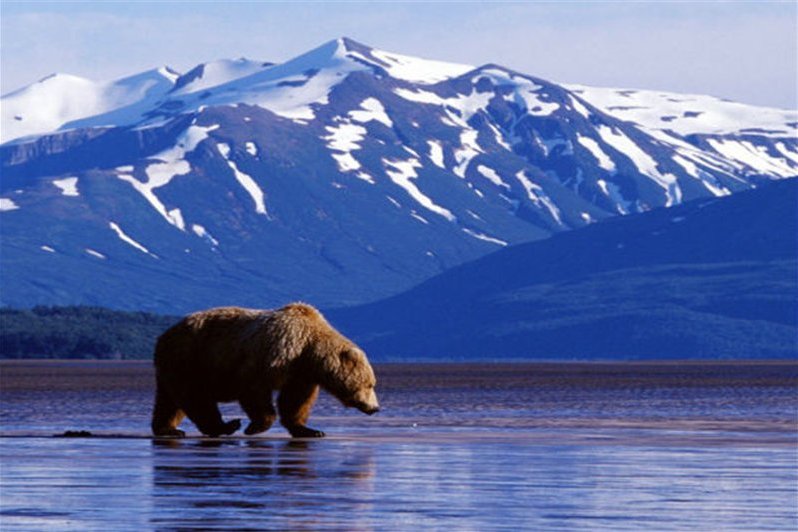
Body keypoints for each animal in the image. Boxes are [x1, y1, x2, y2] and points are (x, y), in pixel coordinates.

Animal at [151, 302, 382, 438]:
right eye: (370, 384)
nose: (375, 408)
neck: (309, 349)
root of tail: (163, 336)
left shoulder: (300, 374)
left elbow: (295, 401)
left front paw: (310, 430)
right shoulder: (274, 355)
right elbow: (254, 389)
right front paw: (256, 426)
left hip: (176, 364)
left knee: (169, 401)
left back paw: (167, 429)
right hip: (192, 359)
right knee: (196, 396)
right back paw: (225, 426)